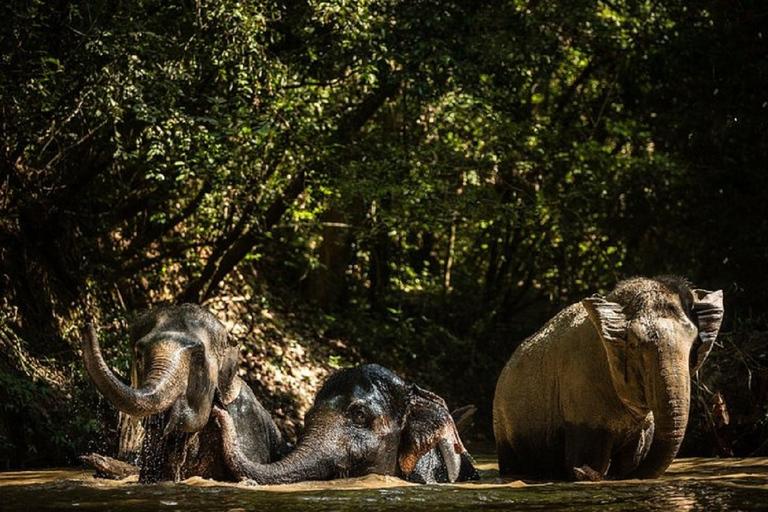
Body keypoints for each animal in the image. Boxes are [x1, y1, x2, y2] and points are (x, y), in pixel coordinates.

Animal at [496, 276, 724, 480]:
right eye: (634, 345)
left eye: (694, 344)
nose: (582, 472)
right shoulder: (580, 386)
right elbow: (589, 457)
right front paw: (586, 471)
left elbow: (632, 459)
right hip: (503, 426)